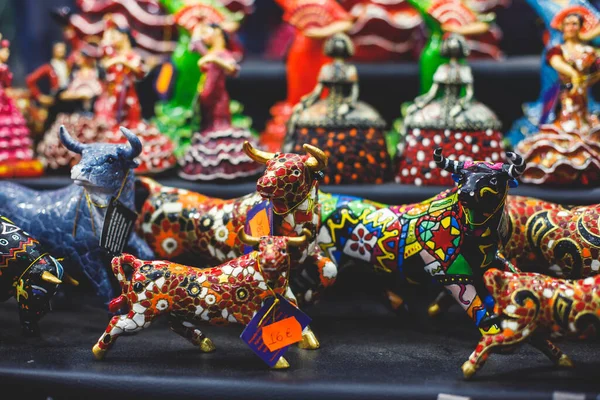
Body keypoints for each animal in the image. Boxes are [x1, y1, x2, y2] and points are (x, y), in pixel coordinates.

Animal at [92, 228, 314, 368]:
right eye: (261, 248)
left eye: (283, 249)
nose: (269, 262)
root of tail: (140, 263)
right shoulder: (251, 313)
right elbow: (261, 336)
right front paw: (280, 362)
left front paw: (309, 341)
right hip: (142, 314)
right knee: (116, 321)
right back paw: (98, 351)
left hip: (171, 311)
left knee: (176, 326)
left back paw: (206, 342)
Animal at [462, 268, 596, 378]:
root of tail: (506, 281)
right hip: (519, 327)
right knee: (488, 340)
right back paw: (469, 367)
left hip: (528, 326)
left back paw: (564, 360)